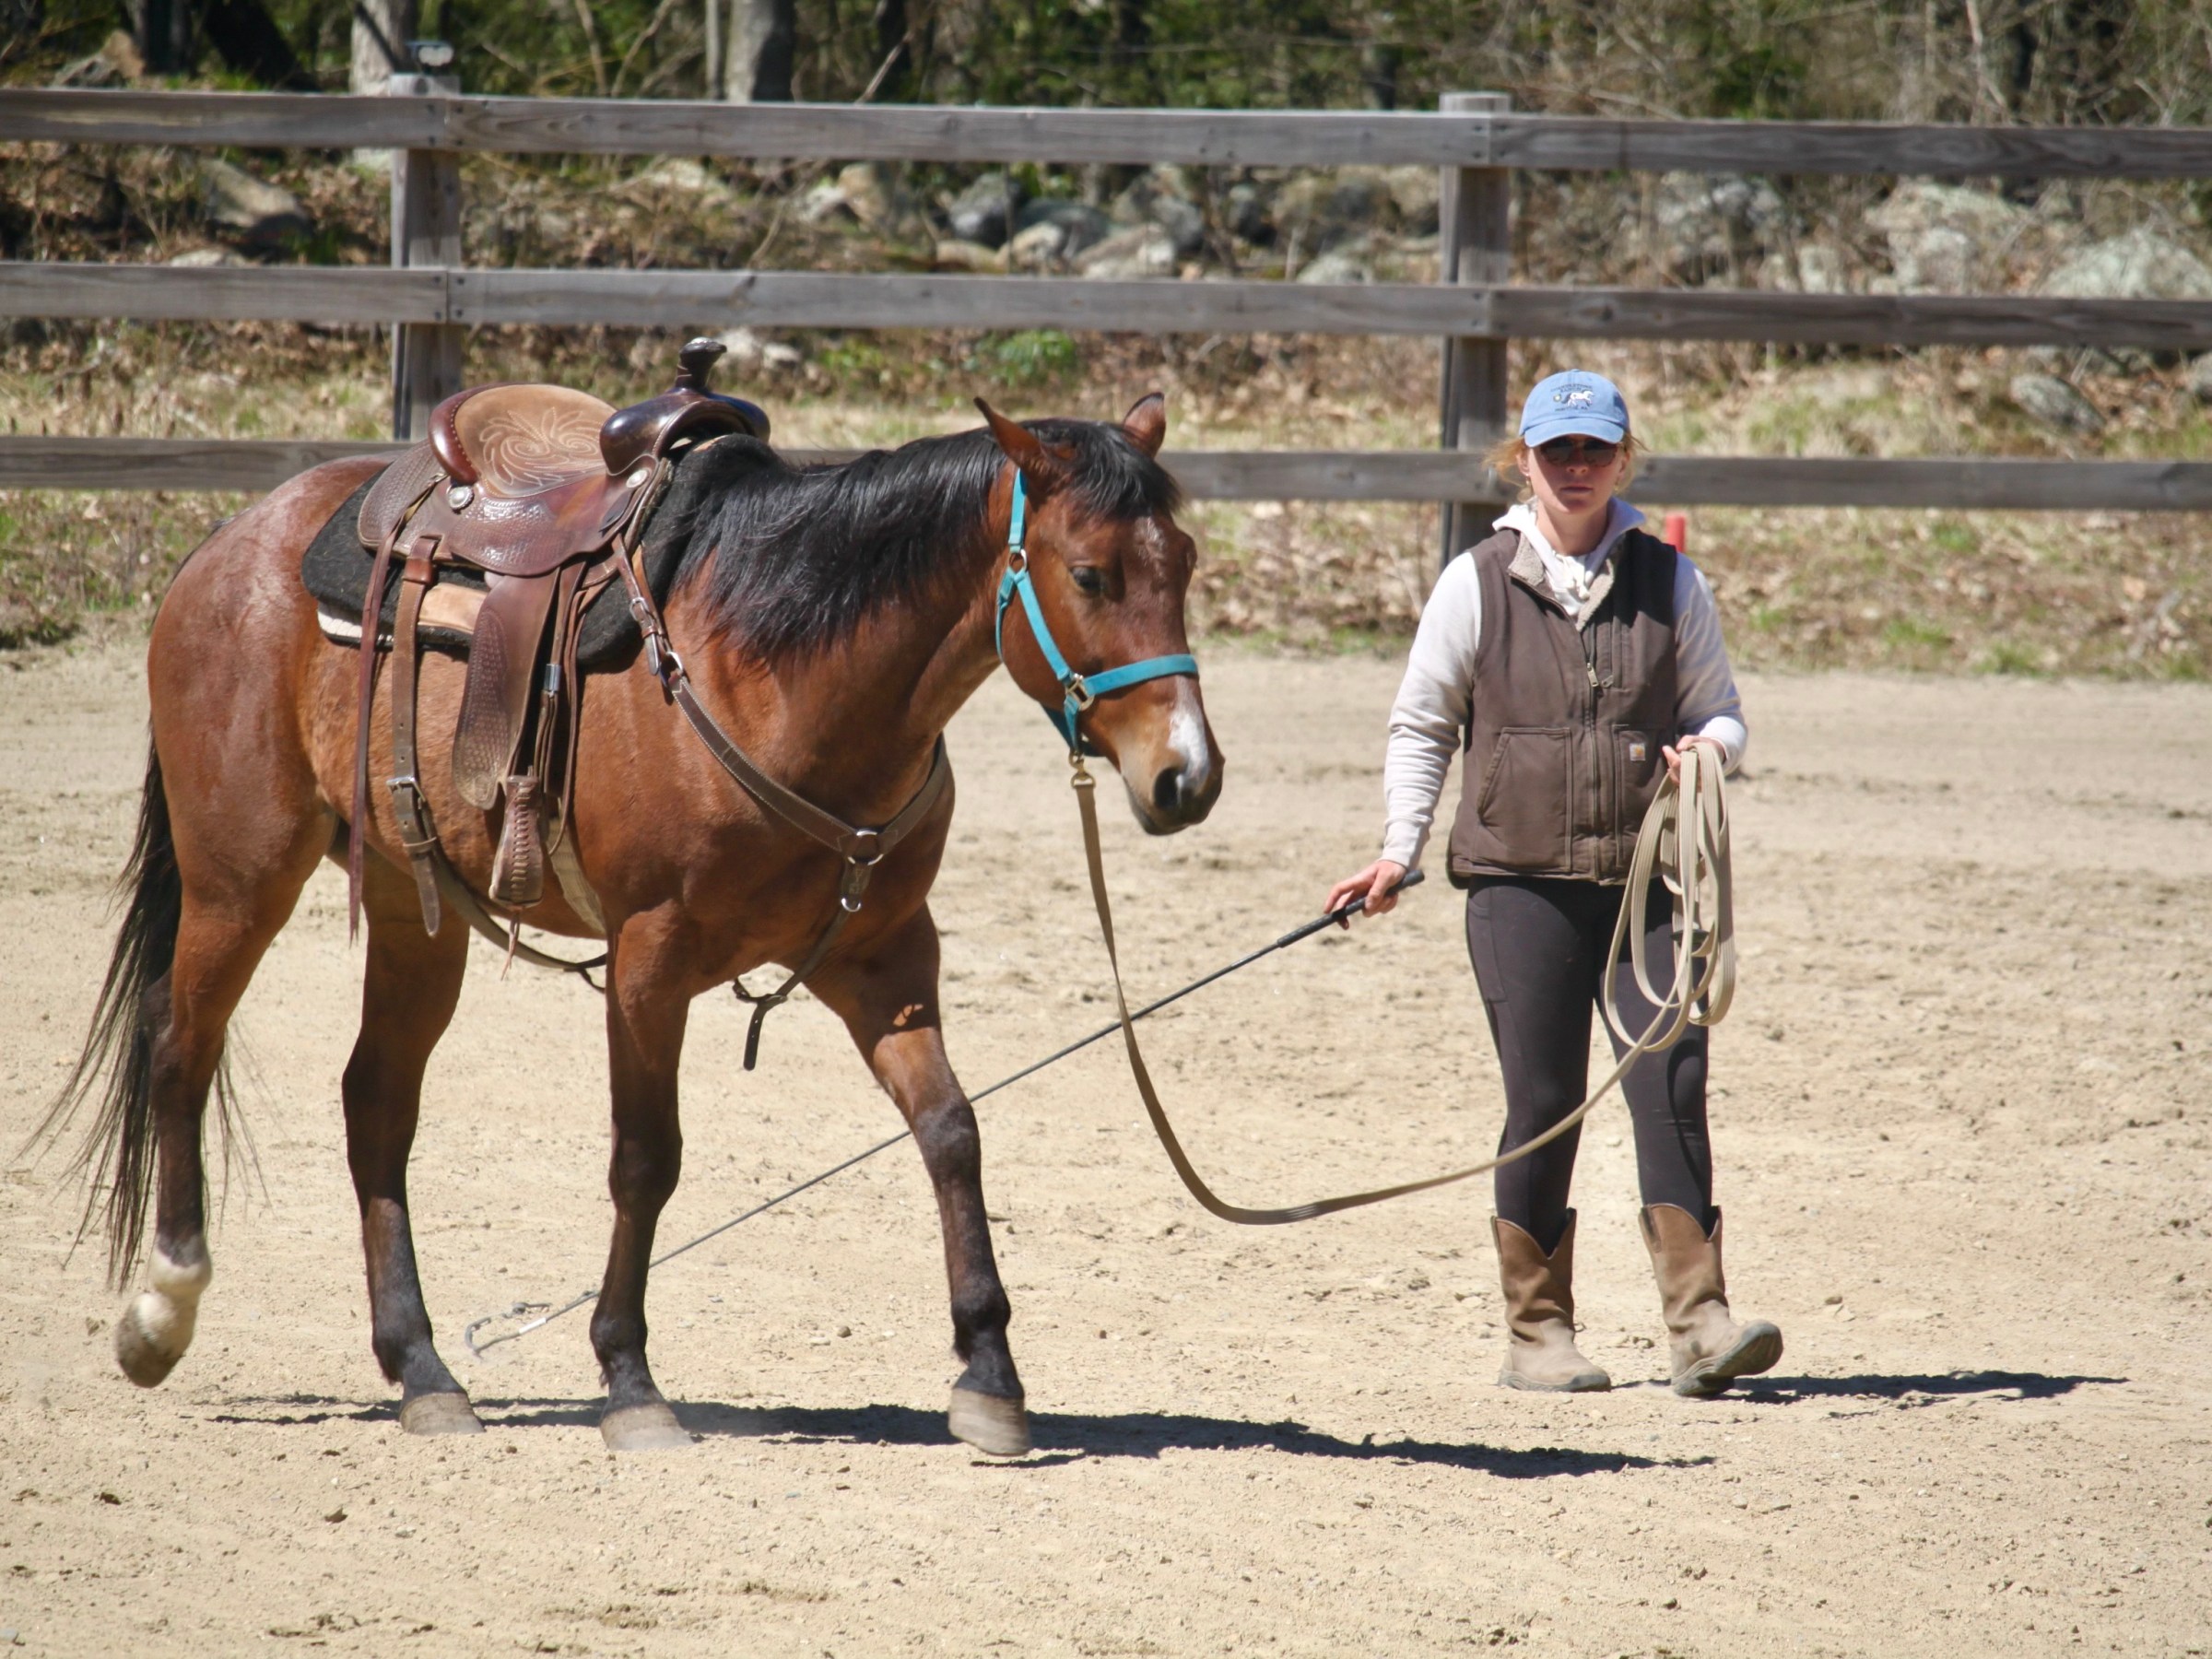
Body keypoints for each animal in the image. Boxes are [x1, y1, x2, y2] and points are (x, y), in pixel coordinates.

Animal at [47, 391, 1221, 1456]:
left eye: (1186, 562)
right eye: (1090, 574)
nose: (1187, 777)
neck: (776, 669)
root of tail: (230, 542)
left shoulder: (884, 956)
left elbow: (950, 1131)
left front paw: (989, 1375)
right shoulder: (650, 965)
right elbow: (647, 1159)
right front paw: (629, 1381)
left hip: (410, 906)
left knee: (374, 1101)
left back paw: (424, 1371)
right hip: (240, 878)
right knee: (182, 1046)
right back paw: (162, 1311)